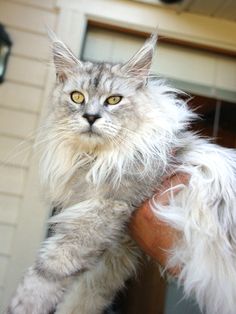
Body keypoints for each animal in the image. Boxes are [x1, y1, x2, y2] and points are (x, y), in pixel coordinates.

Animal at [6, 33, 236, 314]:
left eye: (114, 100)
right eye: (77, 97)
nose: (91, 116)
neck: (94, 158)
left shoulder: (105, 210)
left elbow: (51, 268)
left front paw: (25, 303)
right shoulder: (120, 245)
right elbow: (88, 294)